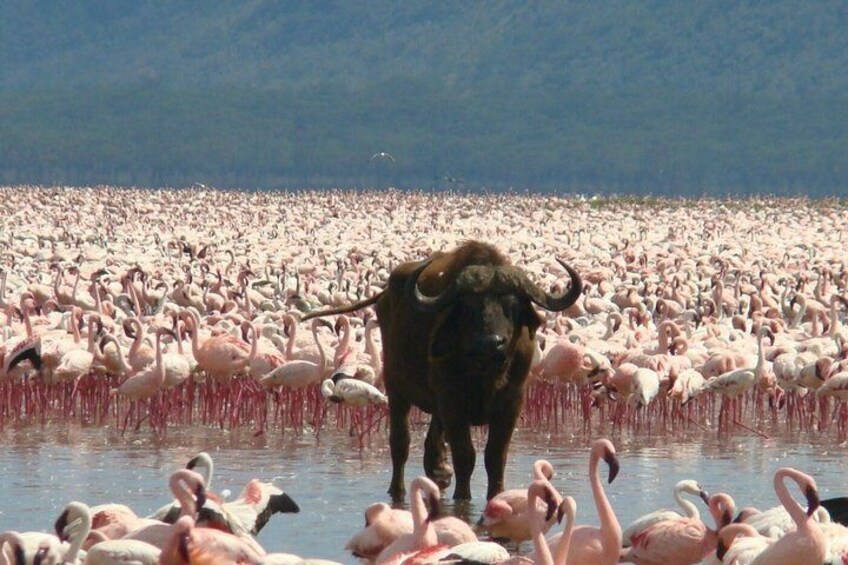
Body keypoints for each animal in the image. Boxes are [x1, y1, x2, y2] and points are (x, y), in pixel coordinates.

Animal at [302, 240, 581, 501]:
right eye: (469, 307)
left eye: (512, 305)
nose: (490, 342)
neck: (485, 374)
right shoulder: (452, 402)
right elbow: (465, 456)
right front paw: (462, 498)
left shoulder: (511, 403)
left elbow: (495, 457)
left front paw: (496, 495)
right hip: (396, 389)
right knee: (400, 443)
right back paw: (398, 490)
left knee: (432, 445)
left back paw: (438, 474)